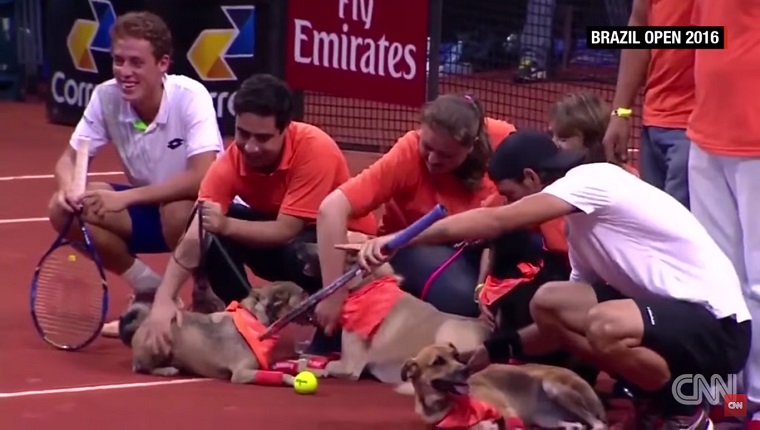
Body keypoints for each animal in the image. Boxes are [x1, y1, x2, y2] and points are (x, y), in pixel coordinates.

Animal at [119, 282, 308, 382]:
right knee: (141, 367)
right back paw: (166, 370)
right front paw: (293, 380)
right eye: (303, 294)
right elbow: (282, 375)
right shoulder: (241, 373)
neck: (254, 316)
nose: (311, 293)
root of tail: (144, 321)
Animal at [294, 233, 490, 388]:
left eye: (322, 243)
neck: (369, 284)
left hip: (447, 330)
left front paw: (306, 366)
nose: (297, 245)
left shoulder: (350, 365)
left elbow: (322, 366)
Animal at [400, 342, 608, 430]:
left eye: (456, 355)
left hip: (553, 387)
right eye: (437, 362)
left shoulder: (508, 413)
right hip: (544, 418)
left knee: (598, 425)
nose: (467, 369)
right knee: (577, 425)